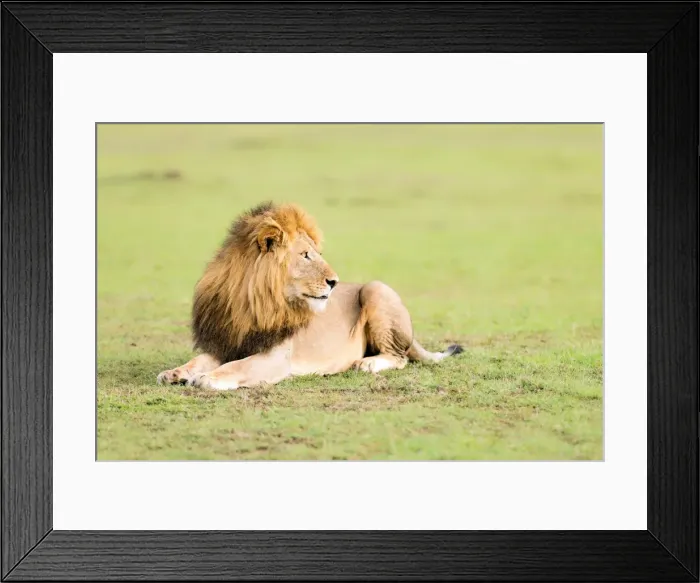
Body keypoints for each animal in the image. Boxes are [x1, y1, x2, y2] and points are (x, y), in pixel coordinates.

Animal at [157, 201, 463, 390]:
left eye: (317, 253)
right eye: (305, 255)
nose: (334, 282)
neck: (251, 303)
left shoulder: (275, 358)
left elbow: (236, 367)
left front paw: (206, 378)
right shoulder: (227, 342)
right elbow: (199, 360)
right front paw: (175, 372)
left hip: (376, 289)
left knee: (400, 357)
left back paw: (368, 363)